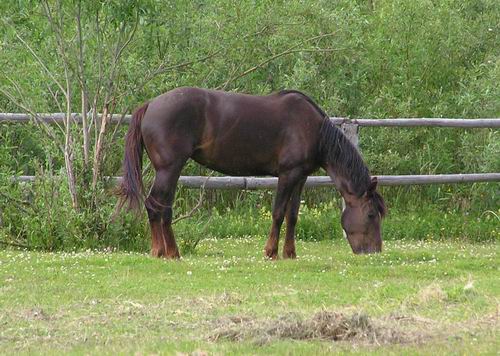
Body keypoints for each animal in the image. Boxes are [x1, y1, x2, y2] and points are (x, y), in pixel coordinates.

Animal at [117, 86, 386, 258]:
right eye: (371, 214)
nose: (374, 252)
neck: (313, 129)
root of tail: (151, 104)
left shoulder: (301, 177)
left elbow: (293, 215)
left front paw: (290, 253)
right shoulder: (287, 175)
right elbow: (278, 213)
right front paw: (270, 252)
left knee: (156, 206)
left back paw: (160, 251)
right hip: (169, 169)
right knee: (158, 206)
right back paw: (169, 252)